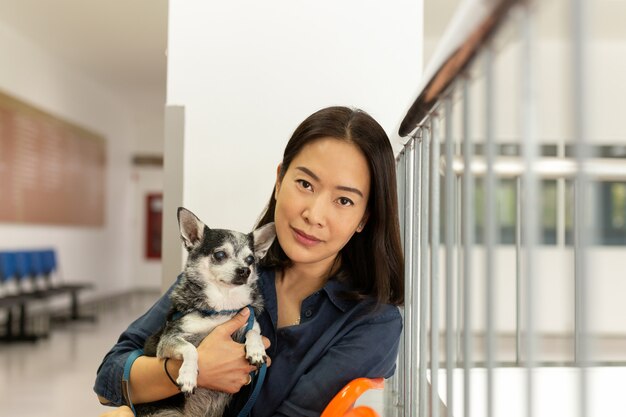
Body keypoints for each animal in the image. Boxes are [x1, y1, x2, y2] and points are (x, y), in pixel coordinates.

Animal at [134, 207, 272, 416]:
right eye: (220, 255)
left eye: (250, 260)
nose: (245, 270)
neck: (223, 305)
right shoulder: (169, 340)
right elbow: (190, 348)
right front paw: (188, 375)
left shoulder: (249, 321)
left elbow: (253, 332)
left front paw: (256, 349)